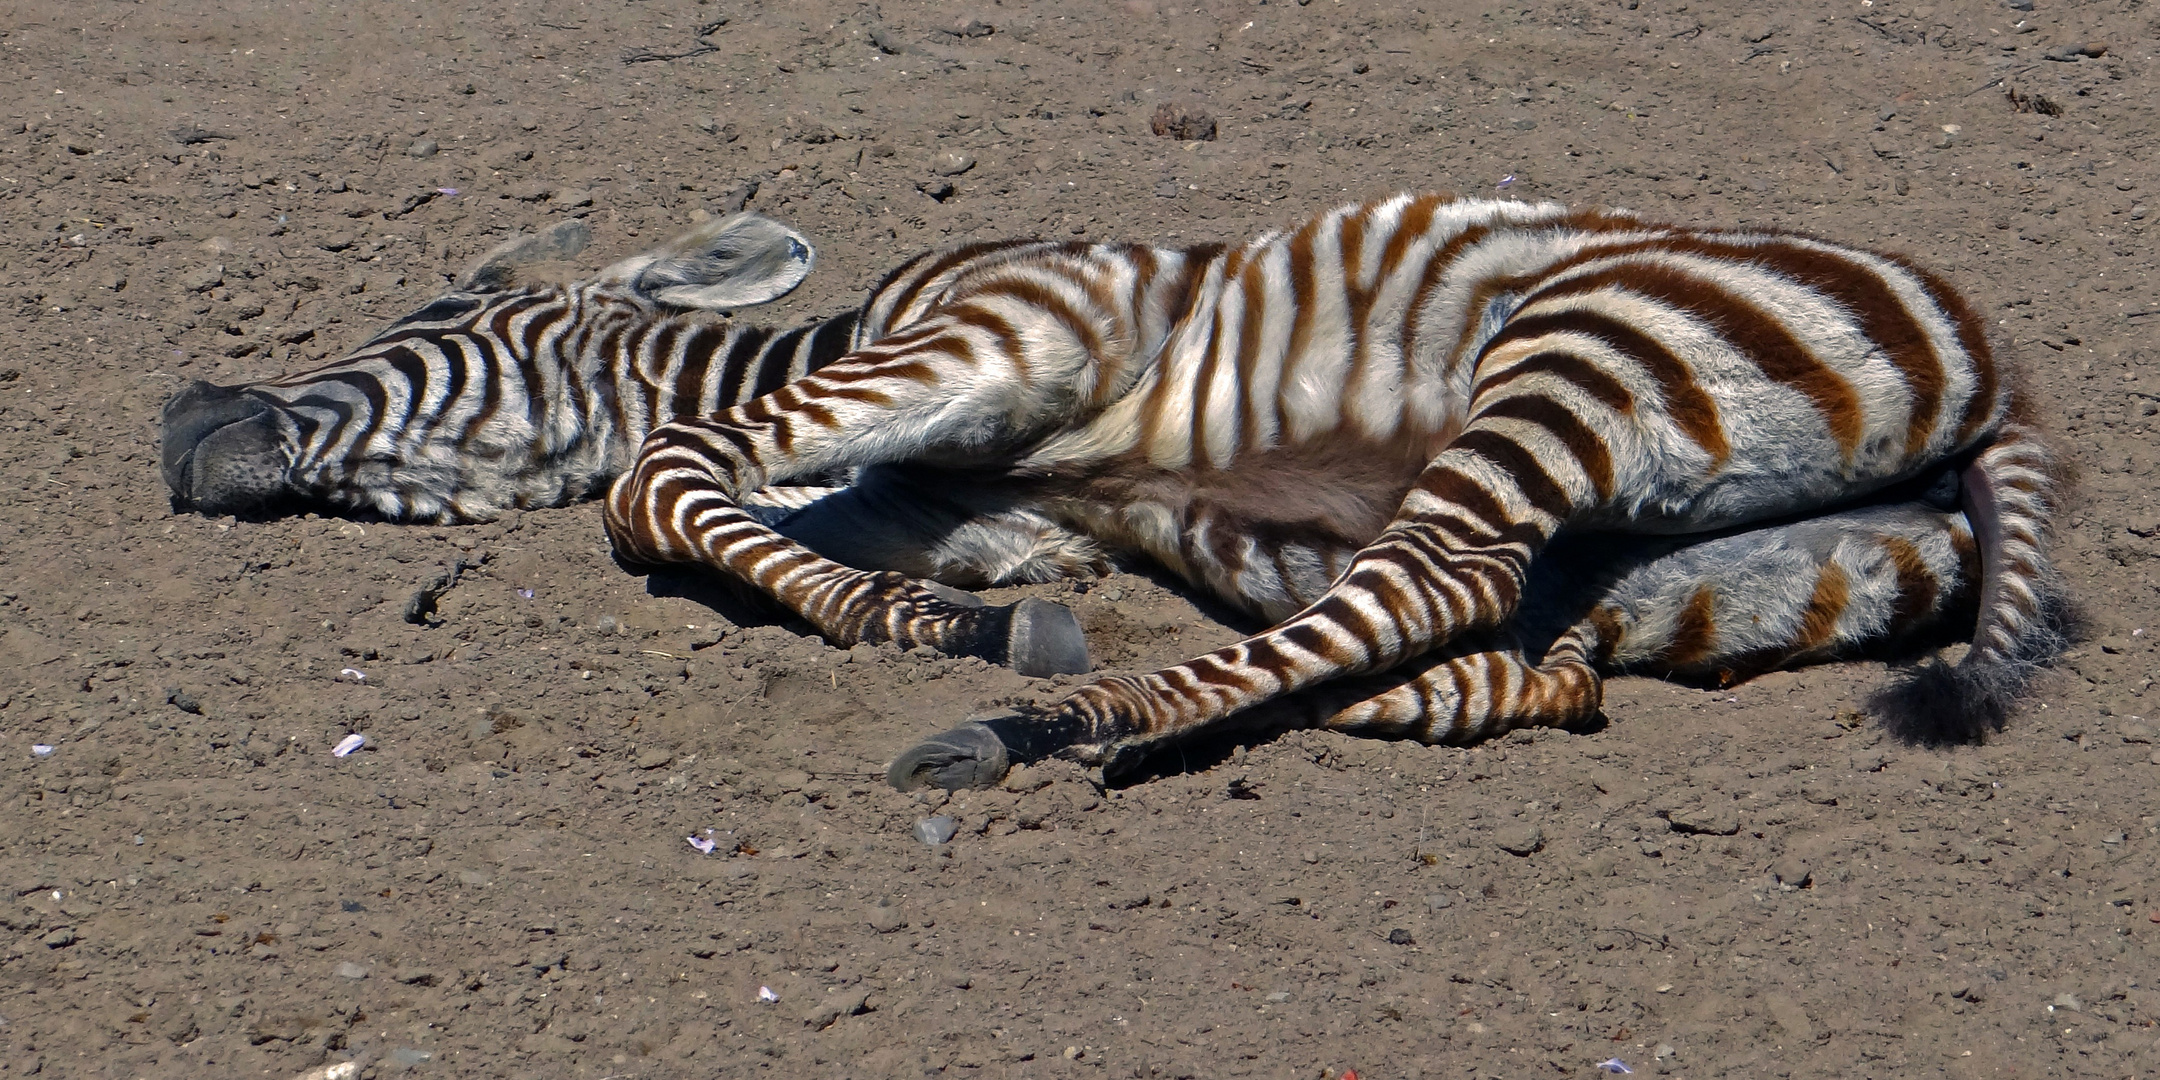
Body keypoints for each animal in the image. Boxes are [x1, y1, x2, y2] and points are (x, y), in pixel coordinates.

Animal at [159, 203, 2064, 790]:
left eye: (431, 306)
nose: (180, 416)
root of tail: (2001, 370)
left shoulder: (1006, 324)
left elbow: (656, 479)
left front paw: (940, 636)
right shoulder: (984, 497)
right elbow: (756, 511)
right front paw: (939, 615)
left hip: (1577, 345)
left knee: (1435, 577)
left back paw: (1050, 728)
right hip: (1757, 559)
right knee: (1472, 615)